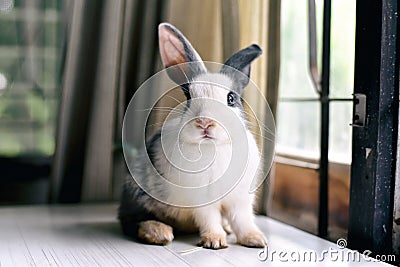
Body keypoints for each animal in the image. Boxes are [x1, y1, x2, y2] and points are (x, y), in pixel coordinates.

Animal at [119, 23, 268, 251]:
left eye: (231, 98)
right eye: (189, 96)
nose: (205, 122)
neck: (213, 148)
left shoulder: (240, 199)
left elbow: (242, 220)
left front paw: (256, 240)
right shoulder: (202, 200)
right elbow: (210, 219)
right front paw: (215, 241)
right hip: (138, 194)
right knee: (130, 220)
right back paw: (159, 232)